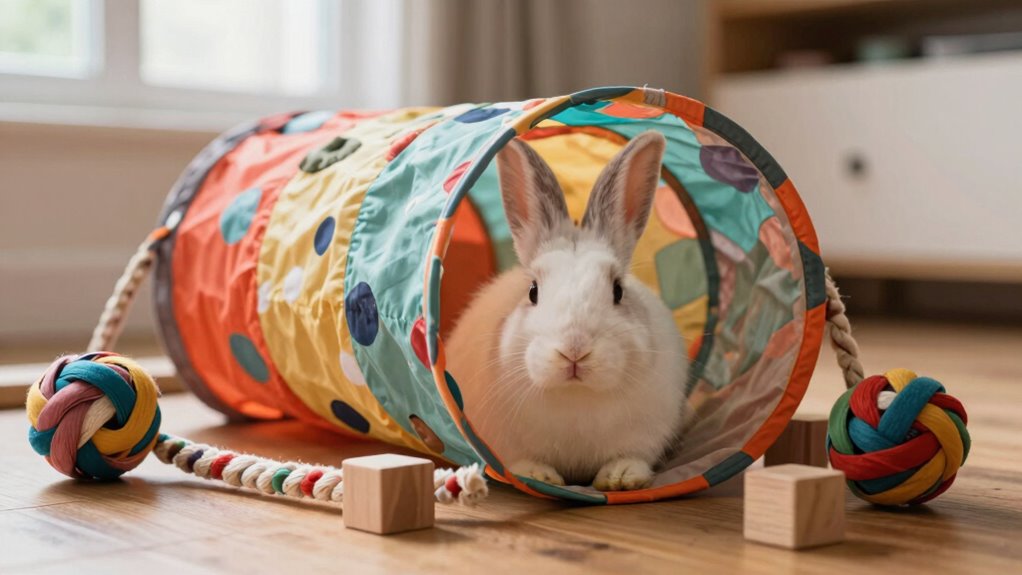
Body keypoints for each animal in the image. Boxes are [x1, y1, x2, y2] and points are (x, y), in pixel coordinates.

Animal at [445, 130, 688, 491]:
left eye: (618, 290)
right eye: (533, 291)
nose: (574, 350)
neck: (575, 395)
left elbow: (631, 456)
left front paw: (620, 478)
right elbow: (521, 461)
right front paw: (539, 475)